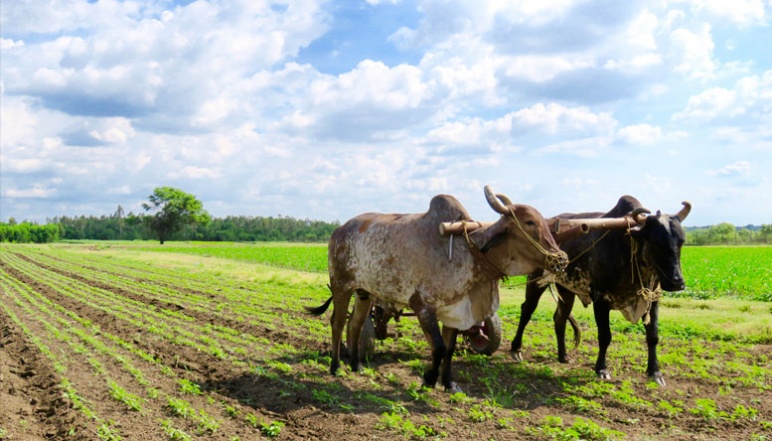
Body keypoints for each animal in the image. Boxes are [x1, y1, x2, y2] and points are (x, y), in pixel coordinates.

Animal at [306, 186, 568, 392]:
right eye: (529, 222)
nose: (561, 259)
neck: (470, 251)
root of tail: (339, 230)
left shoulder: (454, 311)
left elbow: (450, 349)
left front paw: (449, 383)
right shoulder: (423, 306)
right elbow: (439, 347)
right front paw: (429, 379)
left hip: (365, 293)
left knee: (355, 324)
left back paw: (356, 366)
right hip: (341, 286)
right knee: (337, 322)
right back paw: (336, 367)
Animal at [510, 195, 691, 386]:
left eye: (681, 242)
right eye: (655, 242)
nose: (677, 283)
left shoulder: (652, 299)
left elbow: (653, 336)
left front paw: (655, 373)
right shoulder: (600, 299)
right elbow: (605, 336)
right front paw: (602, 369)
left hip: (566, 290)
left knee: (560, 318)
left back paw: (563, 355)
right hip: (535, 281)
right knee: (527, 310)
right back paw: (516, 349)